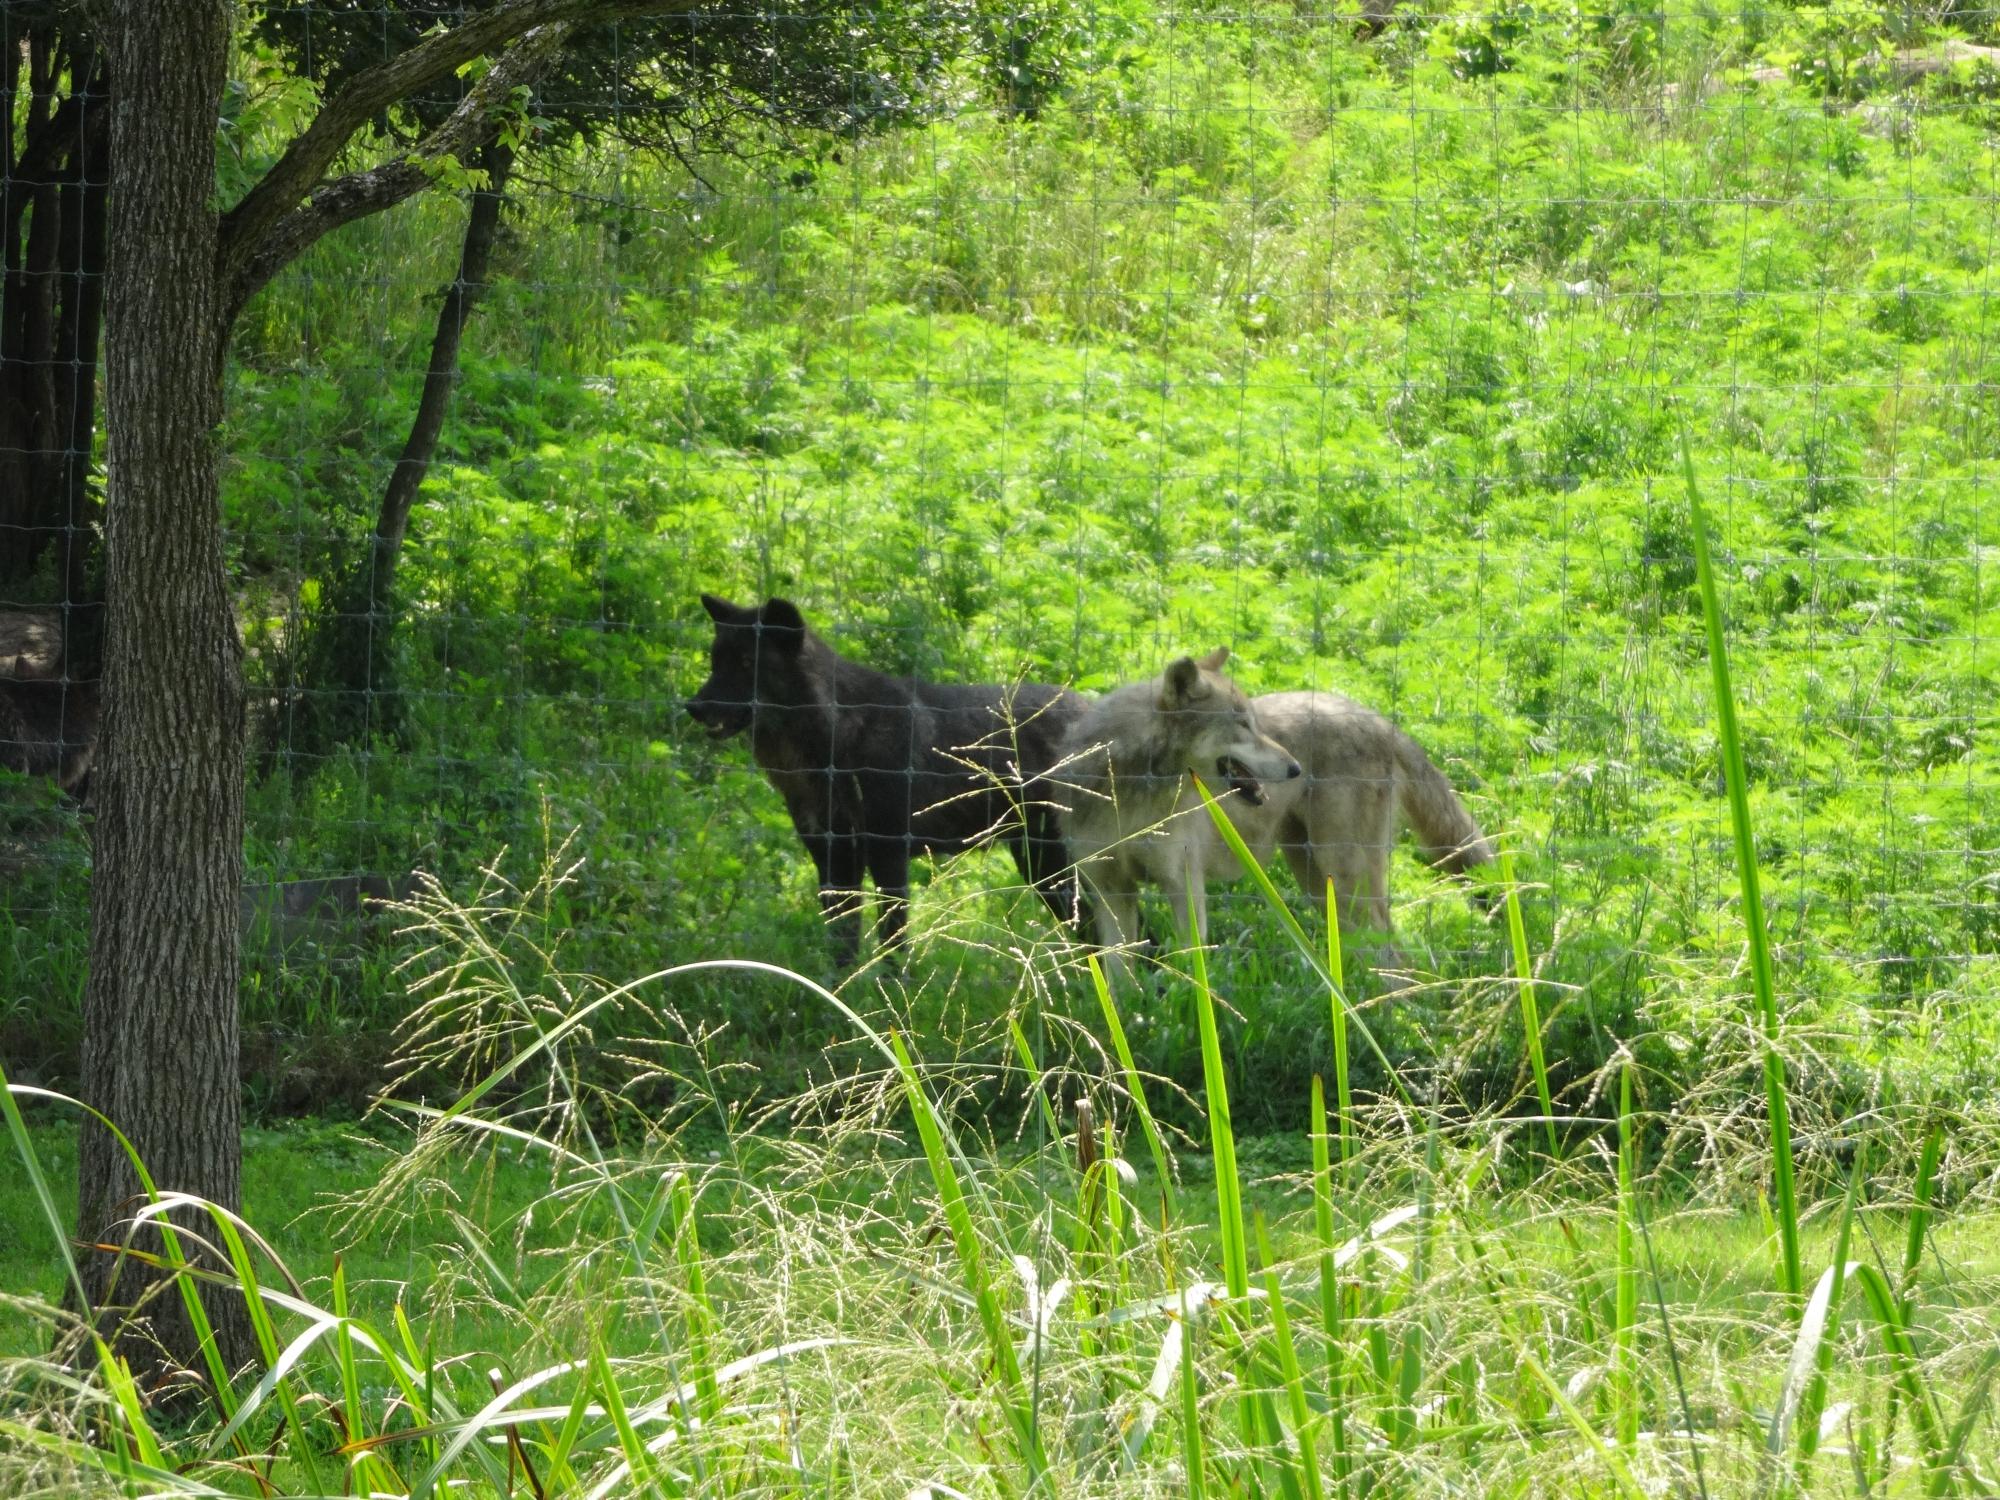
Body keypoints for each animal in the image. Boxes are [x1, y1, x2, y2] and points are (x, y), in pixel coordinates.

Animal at [688, 600, 1096, 976]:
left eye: (746, 663)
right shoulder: (833, 857)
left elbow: (892, 939)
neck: (836, 738)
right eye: (715, 661)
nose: (693, 707)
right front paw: (837, 992)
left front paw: (892, 993)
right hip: (1041, 865)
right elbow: (842, 941)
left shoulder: (888, 854)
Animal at [1056, 652, 1496, 980]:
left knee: (1395, 954)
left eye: (1254, 723)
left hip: (1343, 880)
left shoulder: (1184, 883)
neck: (1130, 796)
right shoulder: (1111, 892)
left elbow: (1193, 971)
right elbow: (1119, 983)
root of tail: (1377, 719)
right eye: (1242, 725)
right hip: (1320, 885)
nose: (1296, 768)